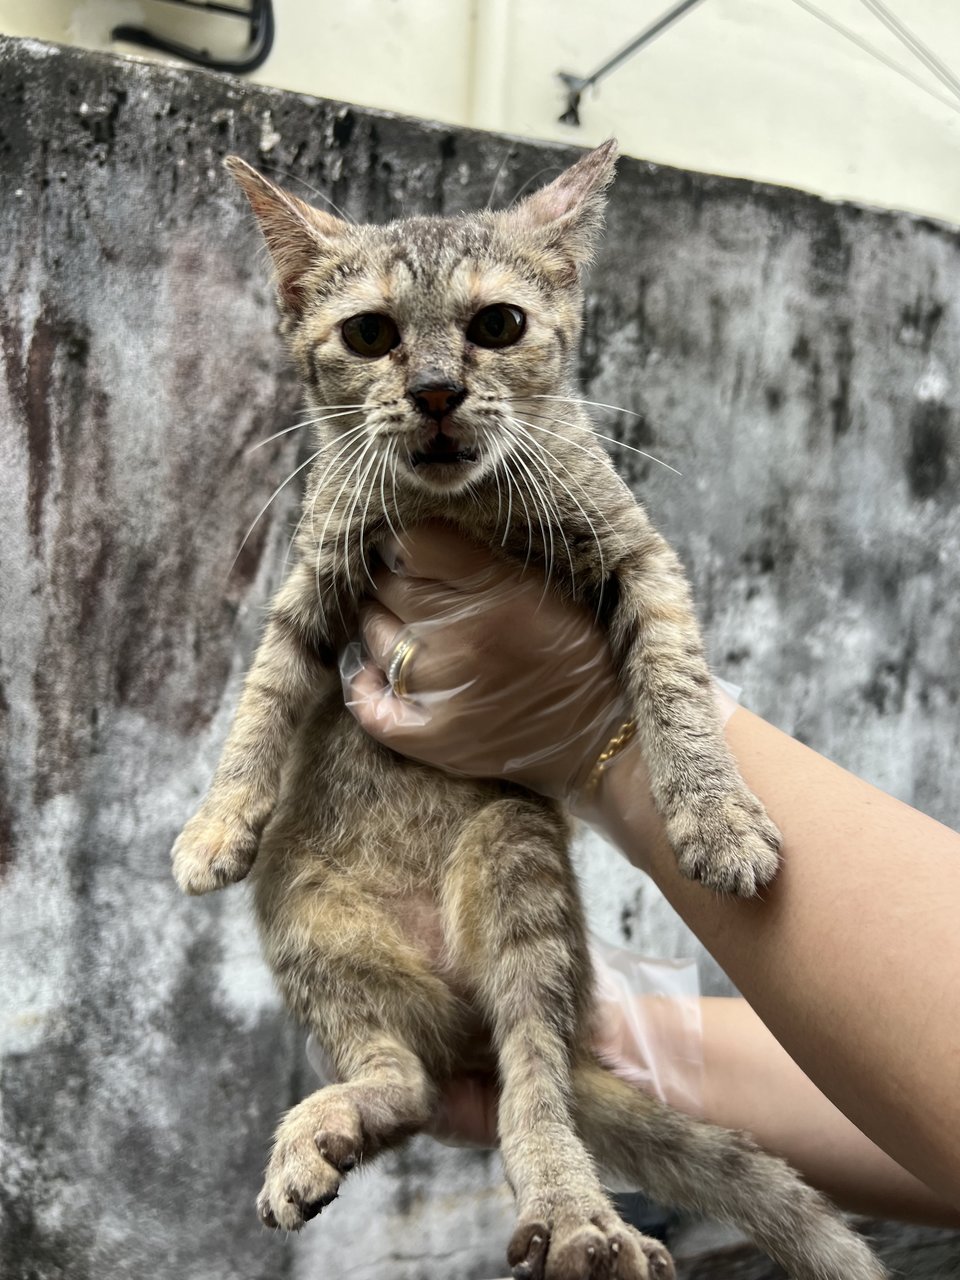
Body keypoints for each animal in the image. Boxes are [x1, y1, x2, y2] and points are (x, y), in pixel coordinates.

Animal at [171, 142, 885, 1280]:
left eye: (497, 324)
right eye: (370, 334)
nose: (434, 389)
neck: (455, 510)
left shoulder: (642, 555)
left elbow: (677, 680)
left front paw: (715, 811)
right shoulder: (311, 583)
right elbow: (263, 697)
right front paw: (216, 820)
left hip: (520, 869)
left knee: (533, 1077)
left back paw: (578, 1210)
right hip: (308, 929)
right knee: (407, 1081)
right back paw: (338, 1119)